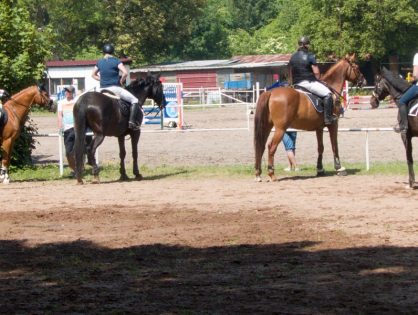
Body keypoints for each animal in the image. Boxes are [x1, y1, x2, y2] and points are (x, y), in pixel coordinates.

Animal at [253, 53, 364, 183]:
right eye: (356, 67)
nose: (363, 81)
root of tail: (270, 92)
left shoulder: (319, 128)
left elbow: (320, 147)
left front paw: (320, 169)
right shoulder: (333, 124)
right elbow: (334, 146)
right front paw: (339, 168)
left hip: (267, 127)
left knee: (261, 146)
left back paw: (258, 174)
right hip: (281, 129)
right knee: (271, 147)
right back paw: (272, 174)